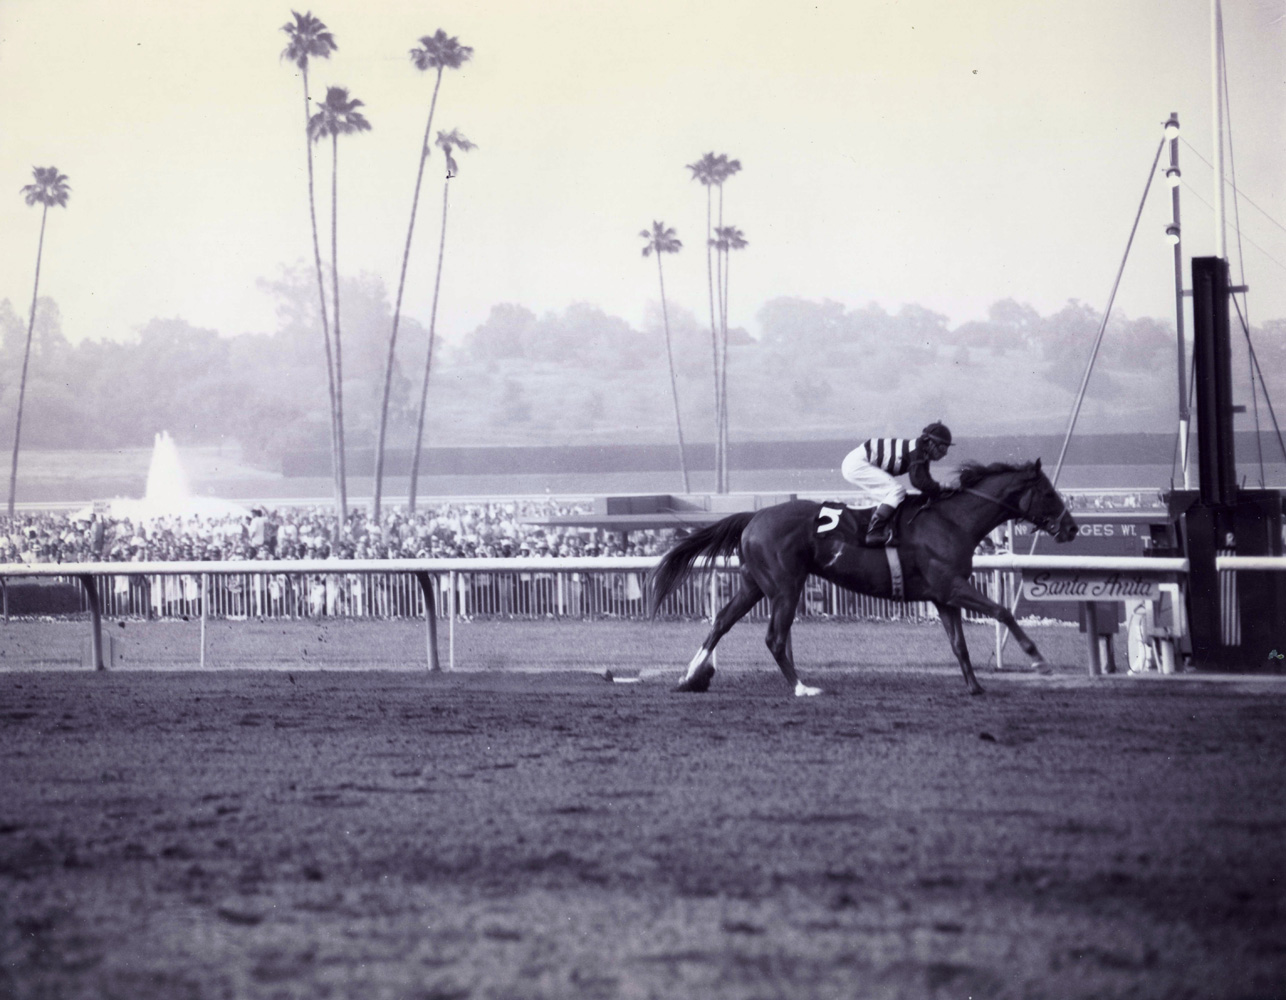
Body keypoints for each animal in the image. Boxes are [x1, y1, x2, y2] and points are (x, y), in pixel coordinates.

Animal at [648, 457, 1080, 694]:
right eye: (1048, 492)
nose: (1072, 528)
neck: (952, 521)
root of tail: (753, 517)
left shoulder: (942, 597)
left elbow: (959, 645)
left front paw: (975, 687)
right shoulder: (953, 586)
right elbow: (1003, 612)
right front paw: (1039, 661)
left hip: (755, 584)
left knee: (721, 621)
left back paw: (691, 676)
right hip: (786, 587)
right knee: (774, 637)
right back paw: (802, 687)